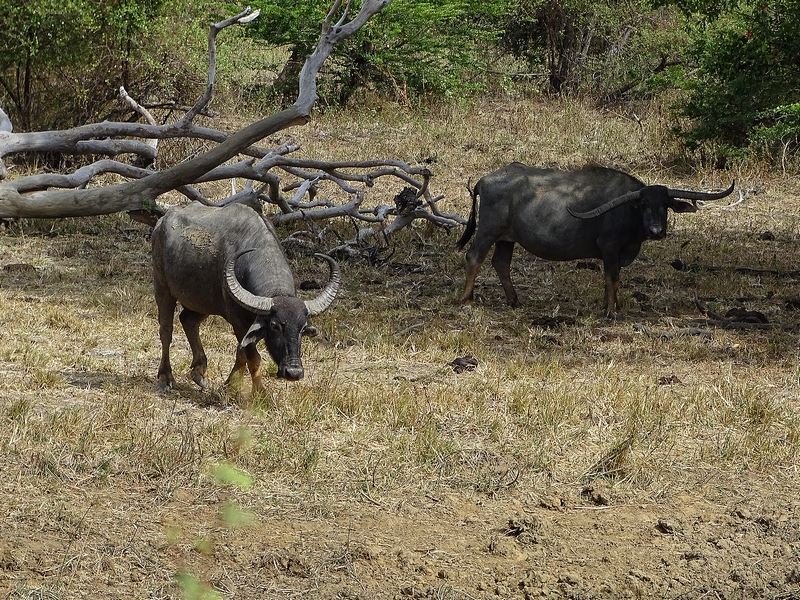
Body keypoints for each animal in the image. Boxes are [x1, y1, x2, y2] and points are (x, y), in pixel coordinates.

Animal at [151, 202, 340, 390]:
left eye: (302, 328)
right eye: (275, 326)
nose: (293, 372)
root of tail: (161, 223)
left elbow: (241, 353)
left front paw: (230, 384)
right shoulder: (238, 322)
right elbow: (253, 357)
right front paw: (259, 392)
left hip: (202, 301)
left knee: (188, 320)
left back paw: (199, 372)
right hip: (162, 288)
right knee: (166, 331)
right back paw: (166, 377)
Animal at [457, 163, 734, 314]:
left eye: (665, 204)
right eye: (644, 204)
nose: (656, 231)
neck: (627, 210)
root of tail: (484, 180)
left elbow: (609, 280)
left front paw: (608, 305)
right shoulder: (610, 248)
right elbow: (613, 278)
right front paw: (612, 309)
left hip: (507, 239)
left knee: (501, 263)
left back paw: (514, 301)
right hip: (488, 231)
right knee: (474, 257)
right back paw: (467, 300)